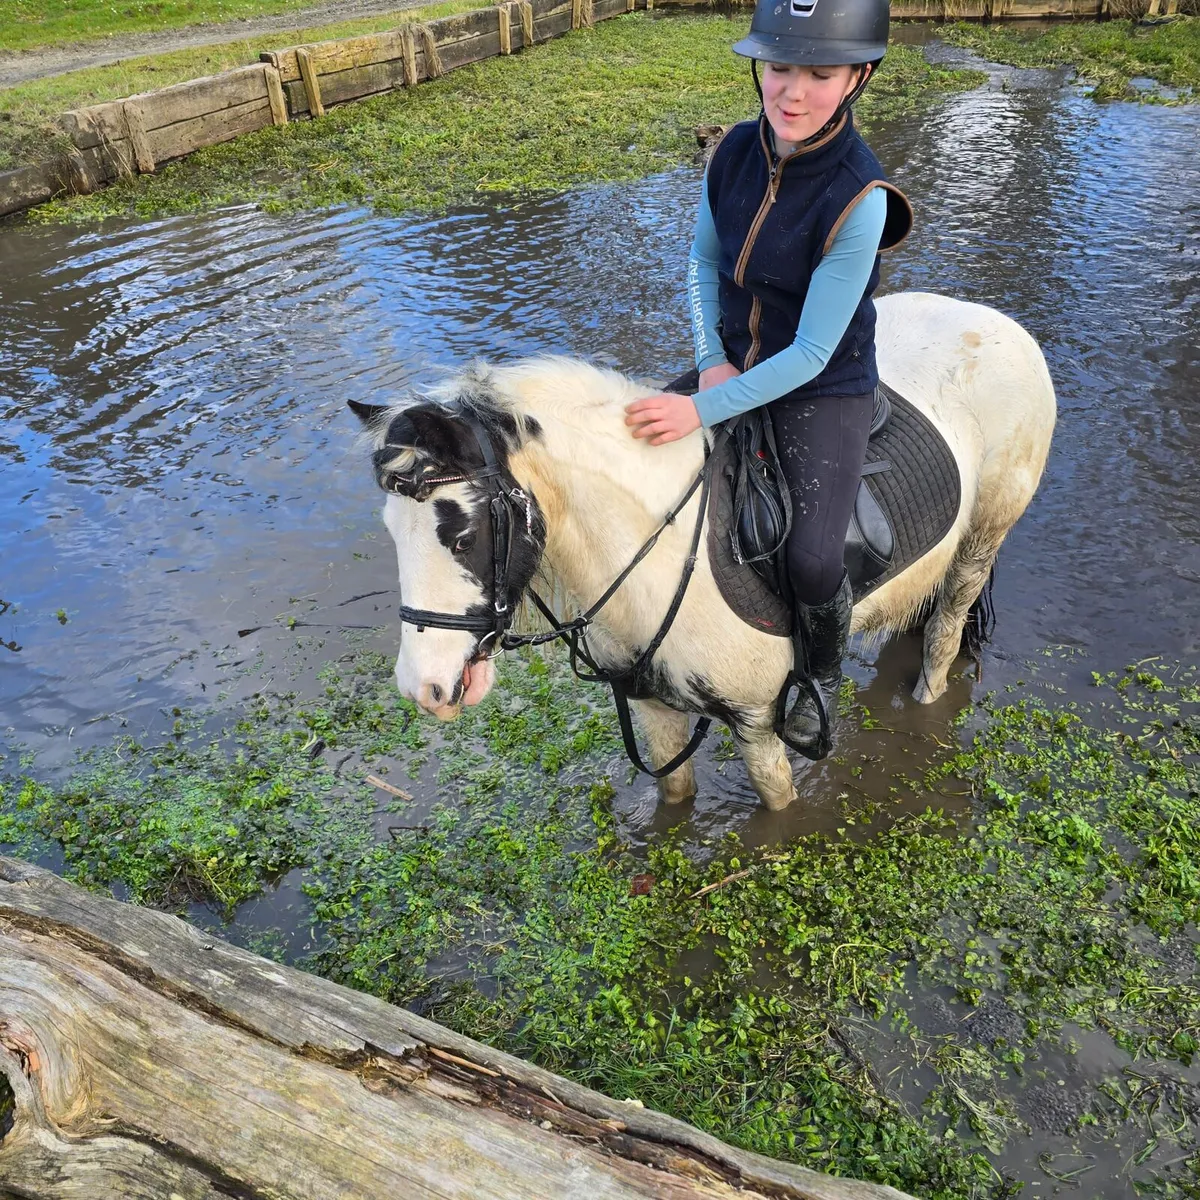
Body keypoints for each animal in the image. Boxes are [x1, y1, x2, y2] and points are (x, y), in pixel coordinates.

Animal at [349, 291, 1056, 811]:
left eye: (463, 536)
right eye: (391, 530)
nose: (425, 688)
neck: (652, 557)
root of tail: (994, 321)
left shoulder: (756, 723)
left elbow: (778, 808)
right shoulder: (652, 709)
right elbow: (674, 797)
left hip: (982, 540)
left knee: (945, 631)